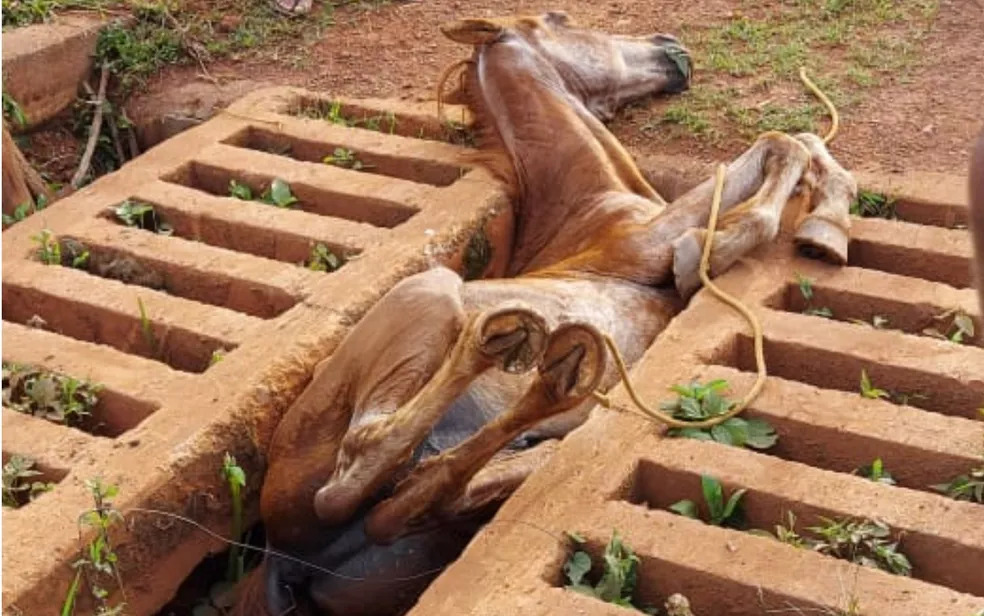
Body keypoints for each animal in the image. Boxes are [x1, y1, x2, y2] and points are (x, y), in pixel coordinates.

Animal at [236, 10, 852, 616]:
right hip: (431, 287)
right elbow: (781, 144)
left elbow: (801, 143)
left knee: (408, 500)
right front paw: (729, 244)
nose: (671, 44)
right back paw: (510, 346)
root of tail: (281, 558)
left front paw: (829, 223)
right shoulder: (650, 241)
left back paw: (552, 386)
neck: (594, 205)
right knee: (356, 473)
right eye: (560, 18)